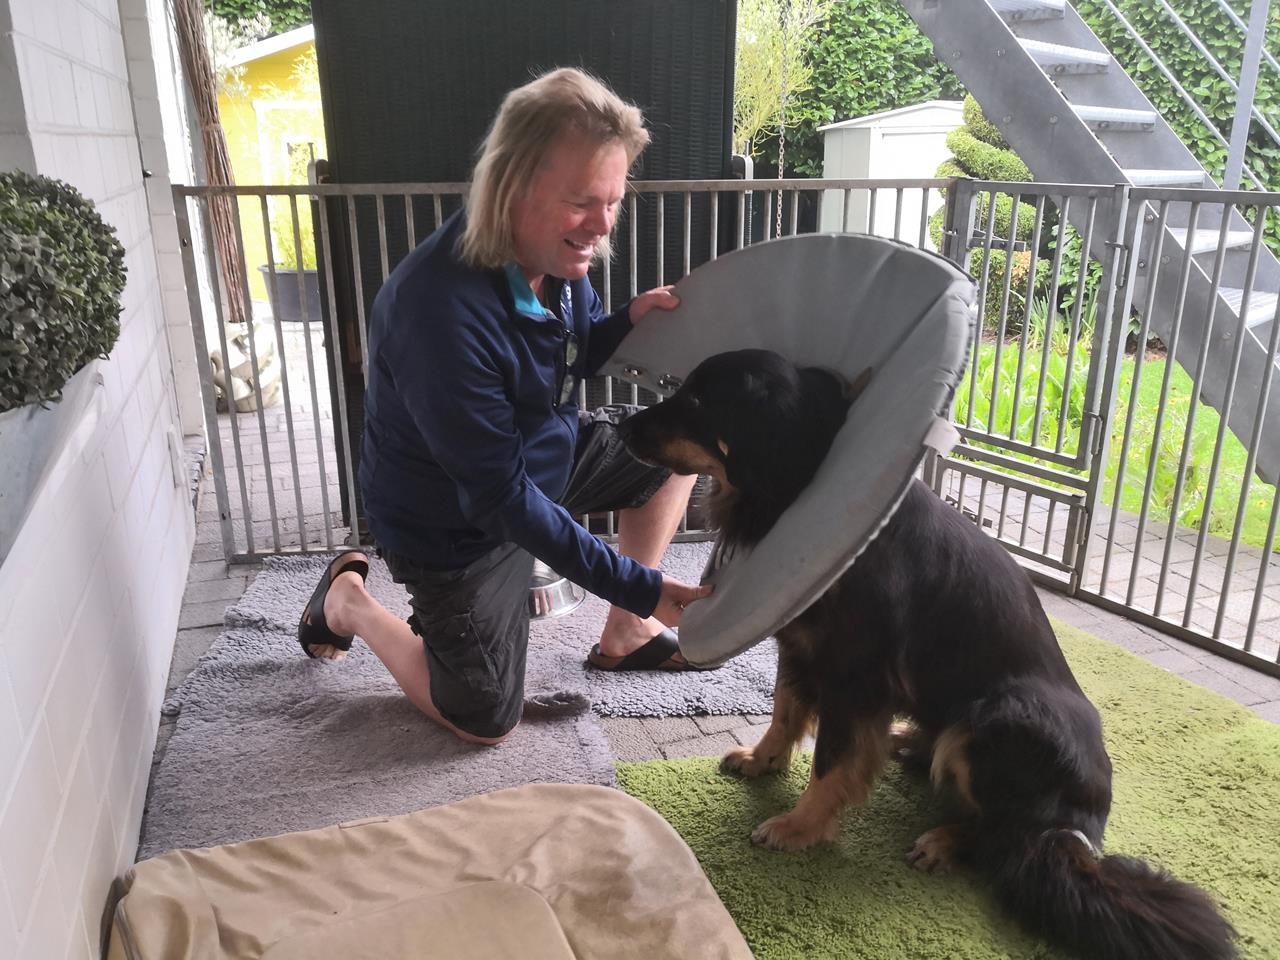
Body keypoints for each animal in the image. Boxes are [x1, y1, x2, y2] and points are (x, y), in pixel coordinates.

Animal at [619, 348, 1235, 960]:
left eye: (697, 400)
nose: (620, 426)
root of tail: (1080, 828)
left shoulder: (854, 678)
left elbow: (832, 760)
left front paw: (801, 827)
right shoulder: (799, 647)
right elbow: (787, 711)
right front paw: (762, 760)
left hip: (996, 716)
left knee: (1008, 838)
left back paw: (946, 839)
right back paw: (904, 743)